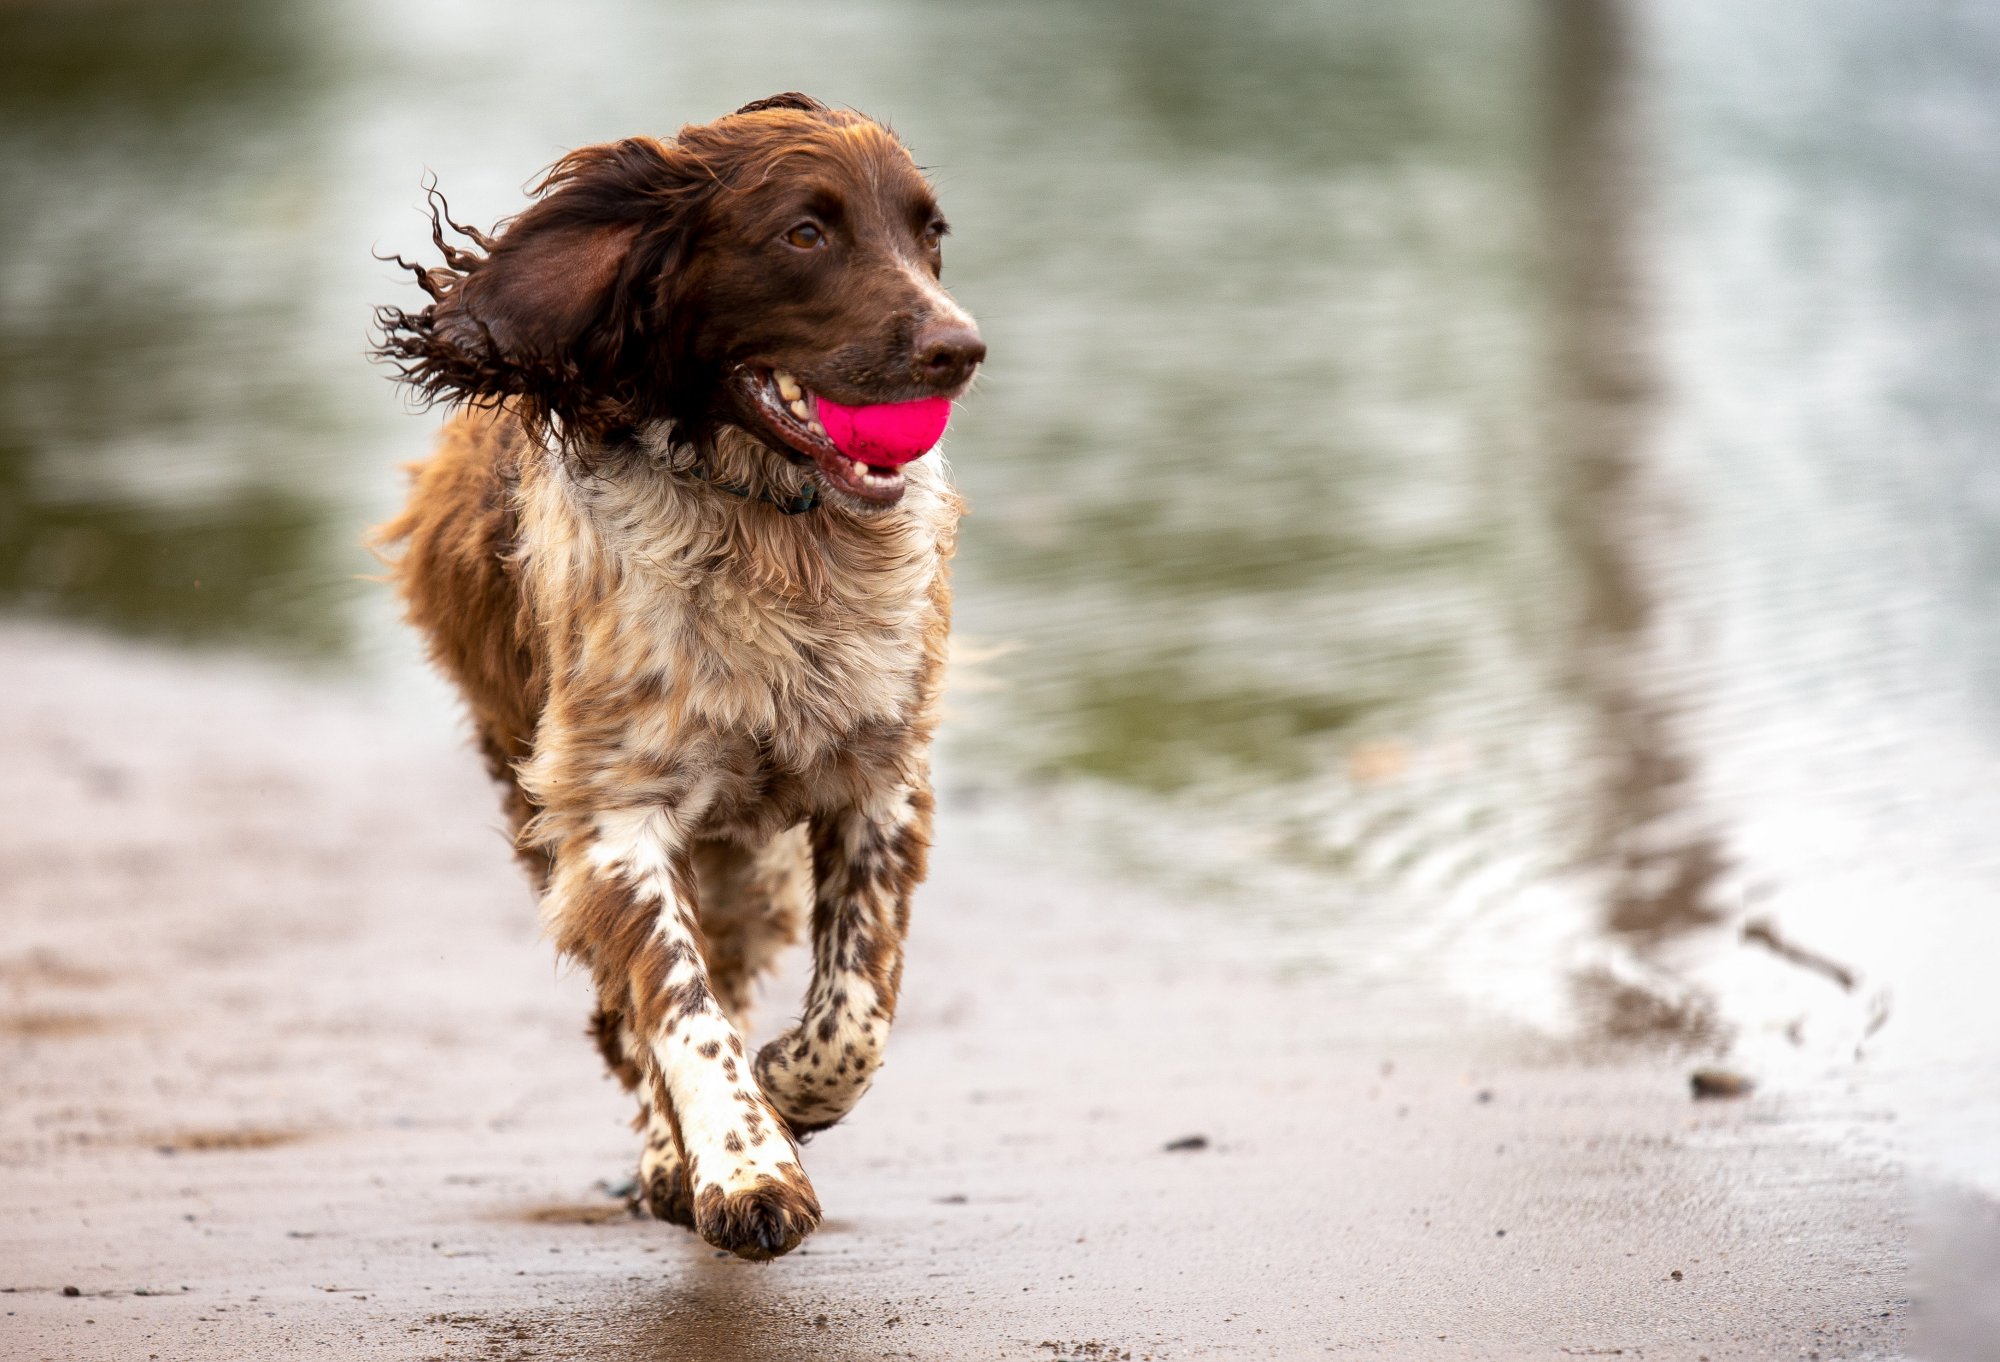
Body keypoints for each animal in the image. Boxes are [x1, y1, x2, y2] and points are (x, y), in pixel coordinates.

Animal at [374, 95, 984, 1256]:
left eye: (930, 234)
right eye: (805, 233)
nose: (959, 348)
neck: (772, 528)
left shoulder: (879, 780)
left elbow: (856, 1013)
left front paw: (787, 1090)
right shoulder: (611, 816)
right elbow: (677, 1008)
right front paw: (746, 1169)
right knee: (633, 1016)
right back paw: (671, 1158)